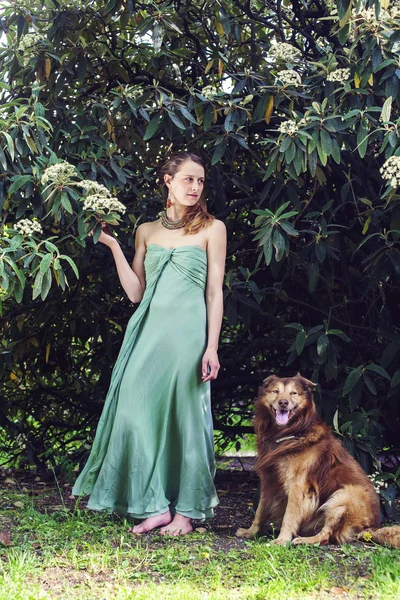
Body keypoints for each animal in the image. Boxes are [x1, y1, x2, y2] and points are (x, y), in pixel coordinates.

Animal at [234, 376, 400, 548]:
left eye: (293, 393)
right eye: (275, 391)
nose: (283, 403)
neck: (286, 434)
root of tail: (370, 528)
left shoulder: (297, 486)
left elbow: (289, 515)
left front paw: (282, 539)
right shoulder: (268, 480)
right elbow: (260, 511)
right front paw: (250, 532)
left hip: (344, 497)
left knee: (327, 535)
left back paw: (303, 540)